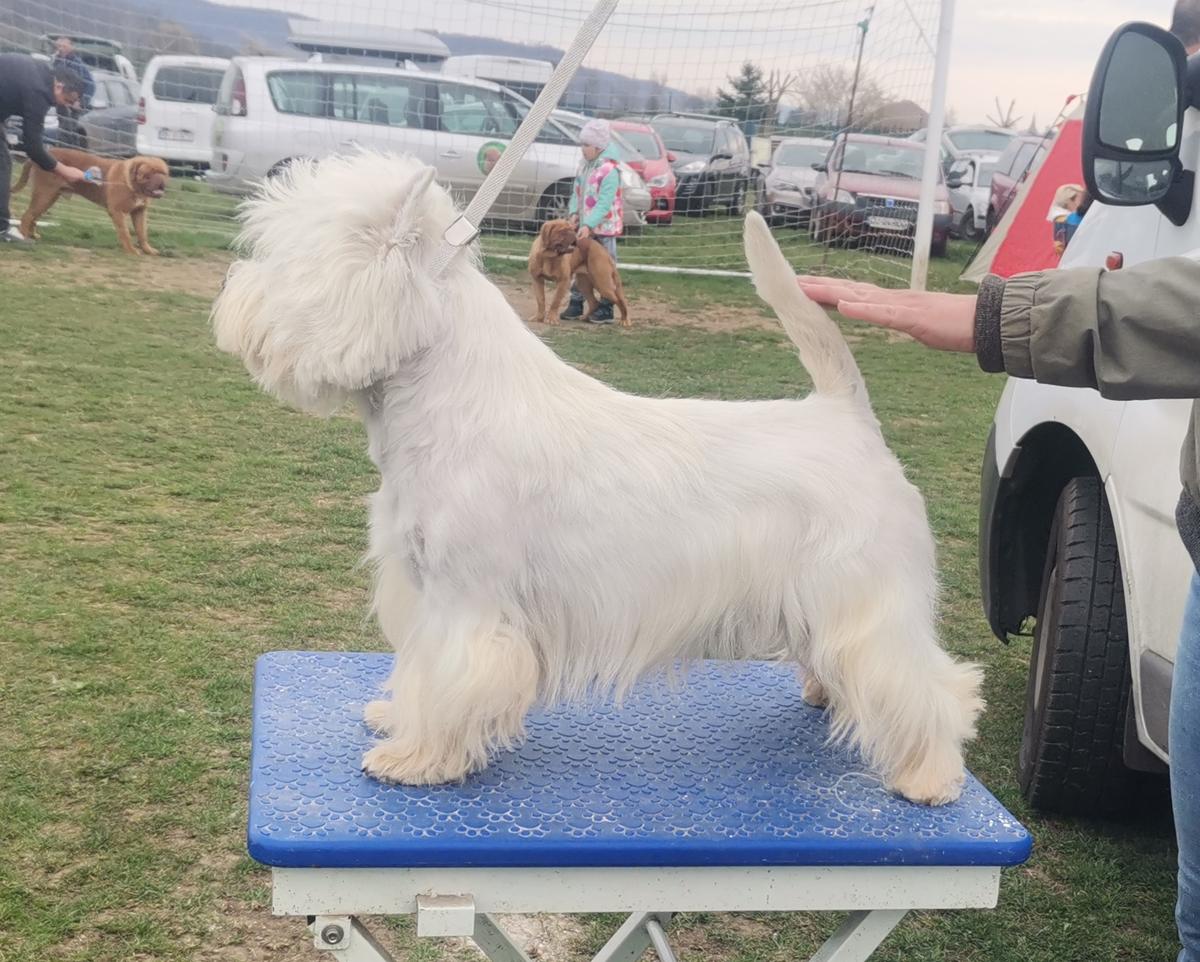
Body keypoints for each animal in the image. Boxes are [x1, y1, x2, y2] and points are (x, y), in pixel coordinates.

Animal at [14, 145, 171, 250]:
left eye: (163, 173)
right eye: (148, 174)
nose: (161, 182)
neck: (132, 184)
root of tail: (36, 158)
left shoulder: (139, 212)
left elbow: (142, 232)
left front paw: (148, 250)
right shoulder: (117, 212)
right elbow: (125, 233)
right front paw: (131, 250)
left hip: (49, 198)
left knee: (33, 216)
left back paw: (33, 235)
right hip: (44, 195)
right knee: (27, 216)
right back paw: (24, 236)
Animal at [213, 153, 984, 806]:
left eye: (289, 262)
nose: (229, 292)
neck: (441, 395)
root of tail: (845, 414)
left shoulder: (467, 599)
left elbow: (453, 676)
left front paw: (416, 758)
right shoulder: (422, 586)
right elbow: (418, 667)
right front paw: (394, 714)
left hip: (866, 597)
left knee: (928, 683)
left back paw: (929, 777)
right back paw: (827, 696)